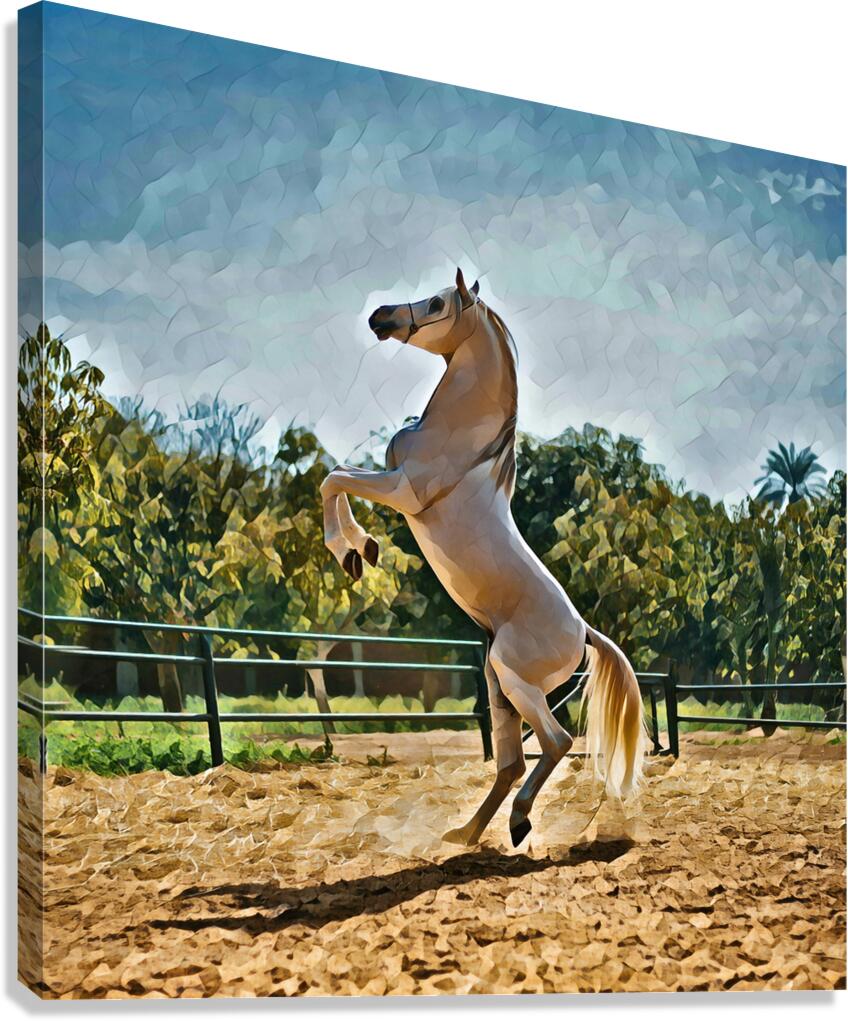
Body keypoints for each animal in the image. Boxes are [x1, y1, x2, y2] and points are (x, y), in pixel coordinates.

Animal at [321, 268, 647, 846]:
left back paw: (517, 822)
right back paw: (467, 833)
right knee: (512, 761)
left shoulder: (403, 490)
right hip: (500, 687)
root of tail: (584, 632)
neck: (459, 440)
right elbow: (336, 476)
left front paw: (353, 551)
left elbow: (333, 478)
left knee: (557, 743)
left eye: (435, 303)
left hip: (514, 677)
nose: (380, 316)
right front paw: (360, 552)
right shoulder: (393, 483)